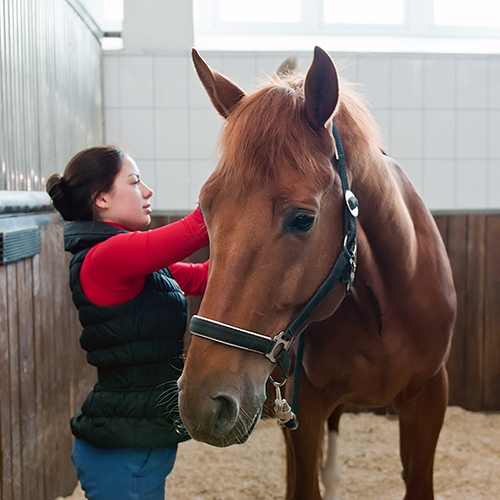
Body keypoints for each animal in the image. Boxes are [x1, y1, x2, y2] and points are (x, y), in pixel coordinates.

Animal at [177, 47, 458, 500]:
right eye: (205, 207)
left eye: (303, 219)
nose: (202, 403)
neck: (381, 307)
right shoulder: (302, 410)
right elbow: (304, 483)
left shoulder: (430, 396)